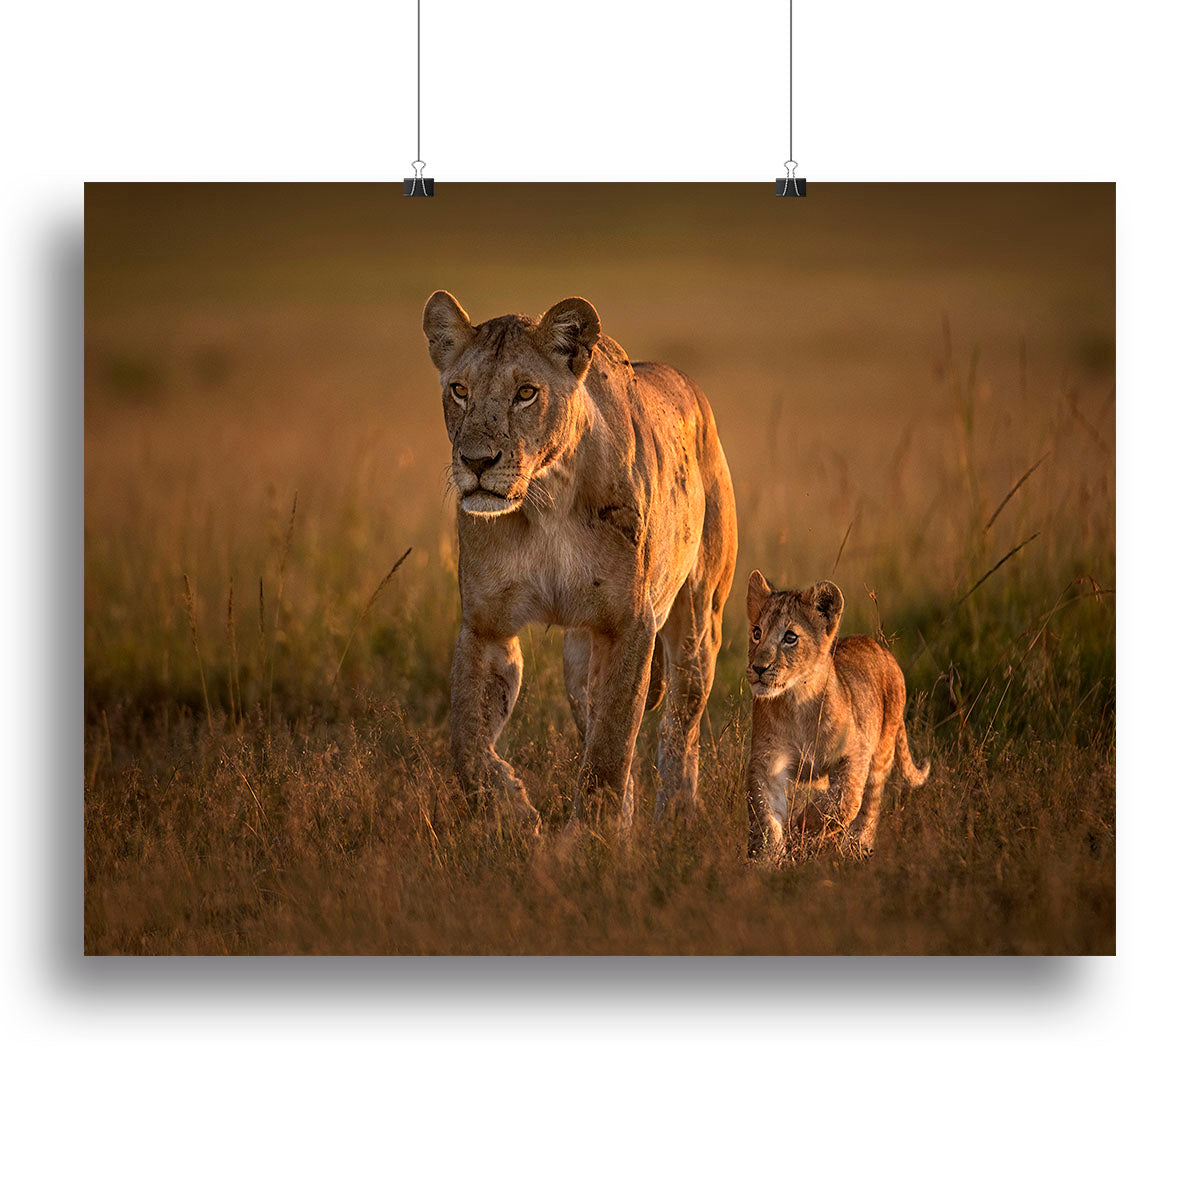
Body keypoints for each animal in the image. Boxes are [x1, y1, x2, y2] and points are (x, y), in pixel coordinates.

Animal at [422, 290, 737, 829]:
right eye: (460, 390)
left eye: (526, 393)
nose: (476, 462)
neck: (546, 500)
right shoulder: (486, 626)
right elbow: (467, 745)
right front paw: (515, 813)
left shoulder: (629, 624)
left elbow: (611, 749)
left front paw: (591, 839)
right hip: (578, 660)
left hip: (698, 621)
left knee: (681, 726)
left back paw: (675, 819)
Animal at [743, 571, 929, 858]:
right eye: (756, 632)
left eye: (790, 637)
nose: (758, 668)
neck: (797, 701)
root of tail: (880, 647)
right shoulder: (768, 762)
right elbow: (766, 816)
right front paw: (766, 858)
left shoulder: (856, 751)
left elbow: (845, 799)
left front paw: (803, 824)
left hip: (883, 750)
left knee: (870, 804)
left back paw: (857, 846)